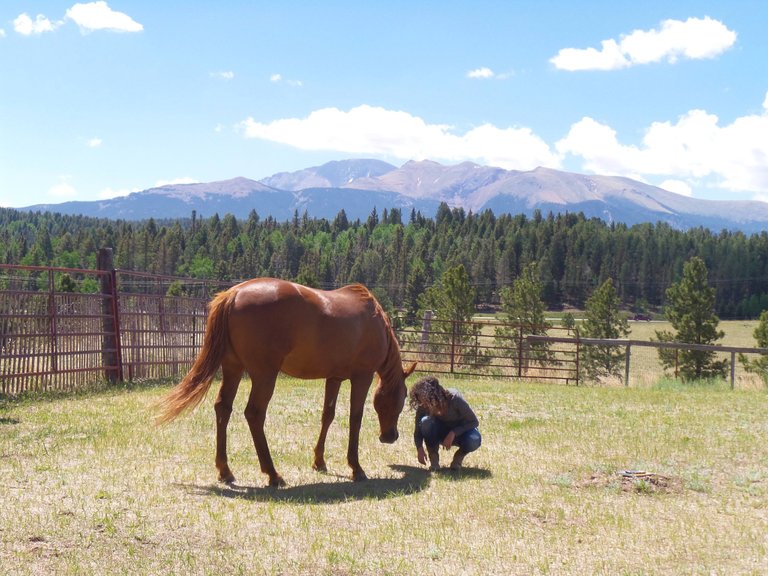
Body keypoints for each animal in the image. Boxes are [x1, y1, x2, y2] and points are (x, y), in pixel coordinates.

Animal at [156, 280, 416, 486]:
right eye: (403, 396)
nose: (390, 436)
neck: (375, 321)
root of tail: (234, 294)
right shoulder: (362, 376)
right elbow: (355, 418)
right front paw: (356, 468)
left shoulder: (334, 378)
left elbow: (328, 415)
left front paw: (319, 461)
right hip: (264, 376)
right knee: (254, 414)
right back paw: (272, 474)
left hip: (233, 369)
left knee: (223, 408)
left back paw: (225, 471)